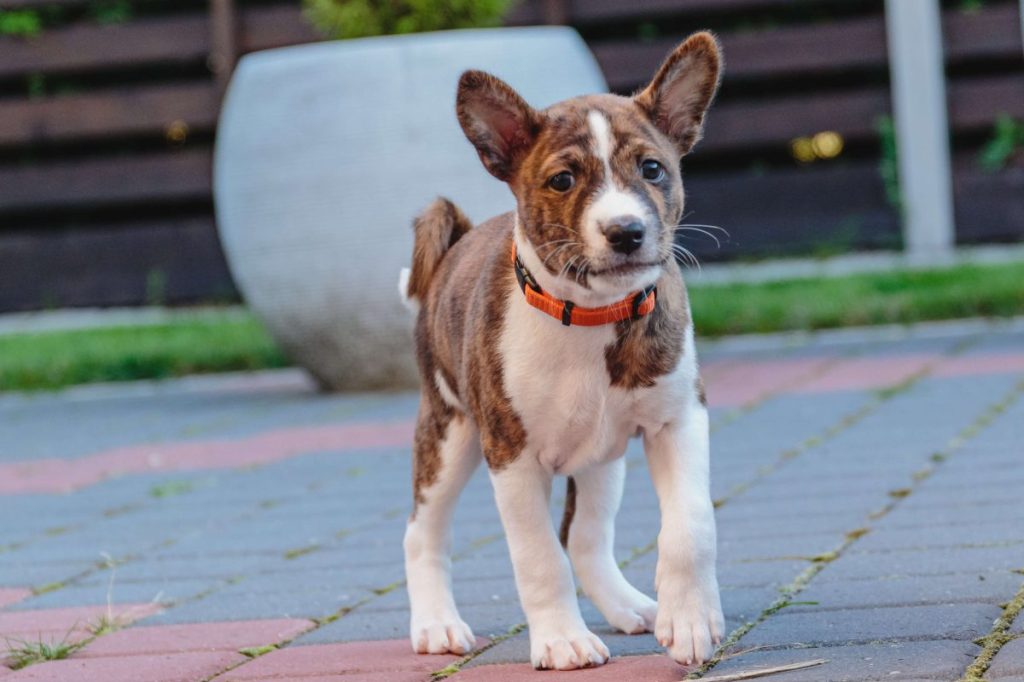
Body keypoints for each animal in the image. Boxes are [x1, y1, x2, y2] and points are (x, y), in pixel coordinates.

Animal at [401, 33, 729, 667]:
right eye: (562, 181)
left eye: (652, 169)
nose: (626, 231)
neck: (591, 317)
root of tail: (455, 245)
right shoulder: (512, 456)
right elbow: (538, 558)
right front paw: (561, 640)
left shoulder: (678, 419)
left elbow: (691, 526)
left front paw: (690, 619)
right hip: (448, 432)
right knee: (422, 532)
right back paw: (437, 625)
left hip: (602, 458)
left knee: (585, 536)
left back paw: (631, 607)